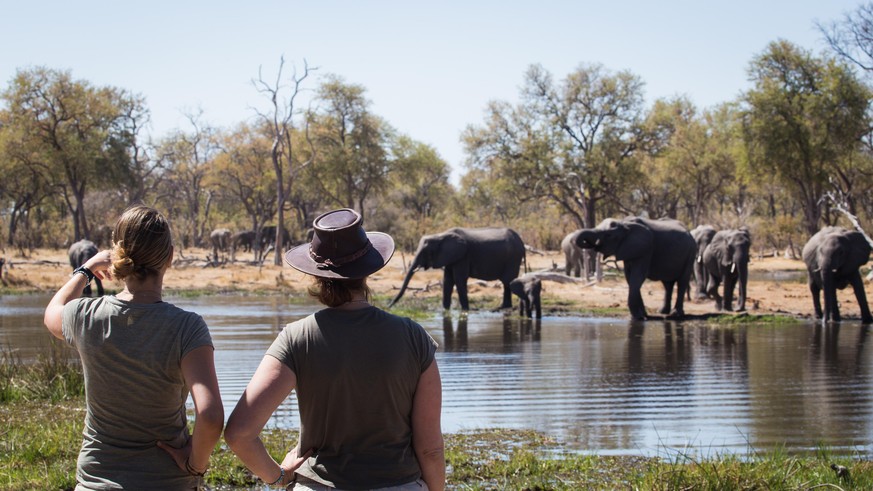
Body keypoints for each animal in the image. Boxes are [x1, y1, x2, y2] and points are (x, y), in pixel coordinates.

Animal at [388, 228, 524, 312]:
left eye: (425, 252)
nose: (388, 306)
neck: (440, 235)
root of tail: (521, 242)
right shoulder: (451, 257)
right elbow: (447, 280)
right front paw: (445, 310)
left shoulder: (463, 256)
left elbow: (458, 279)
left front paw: (465, 310)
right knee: (507, 282)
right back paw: (503, 307)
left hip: (513, 258)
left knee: (507, 281)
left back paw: (501, 308)